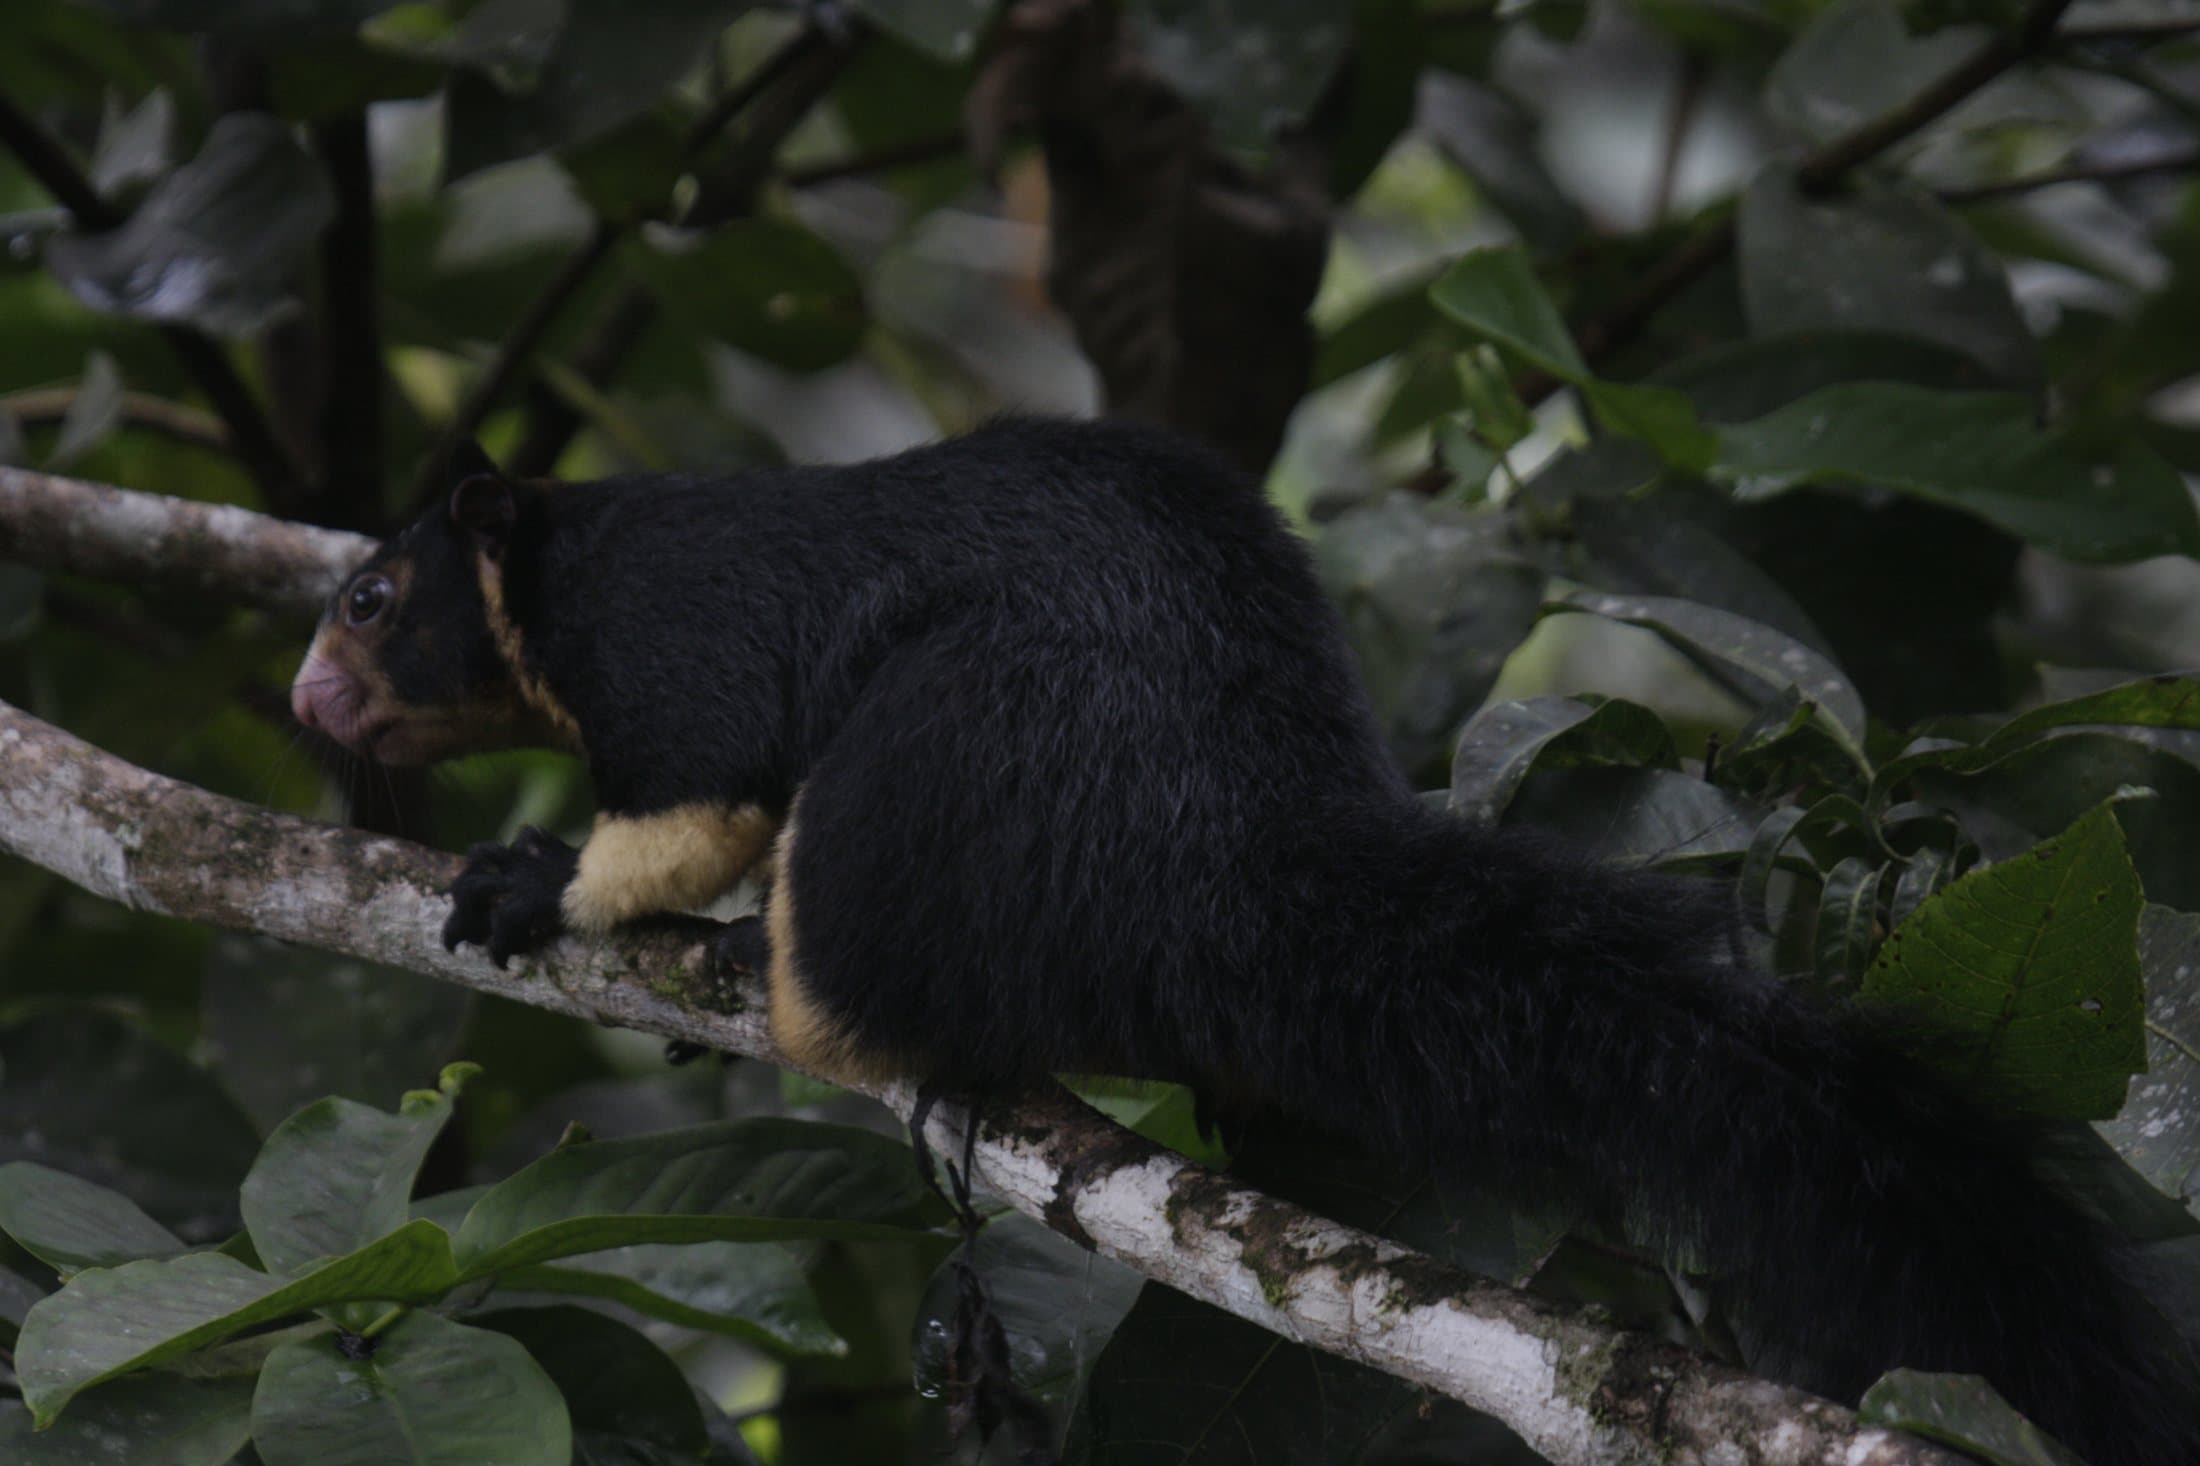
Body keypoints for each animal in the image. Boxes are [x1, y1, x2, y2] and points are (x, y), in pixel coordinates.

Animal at [291, 417, 2197, 1463]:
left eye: (371, 597)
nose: (306, 698)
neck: (552, 582)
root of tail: (1219, 846)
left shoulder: (667, 637)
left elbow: (702, 788)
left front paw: (538, 884)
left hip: (969, 757)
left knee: (863, 849)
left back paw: (825, 1009)